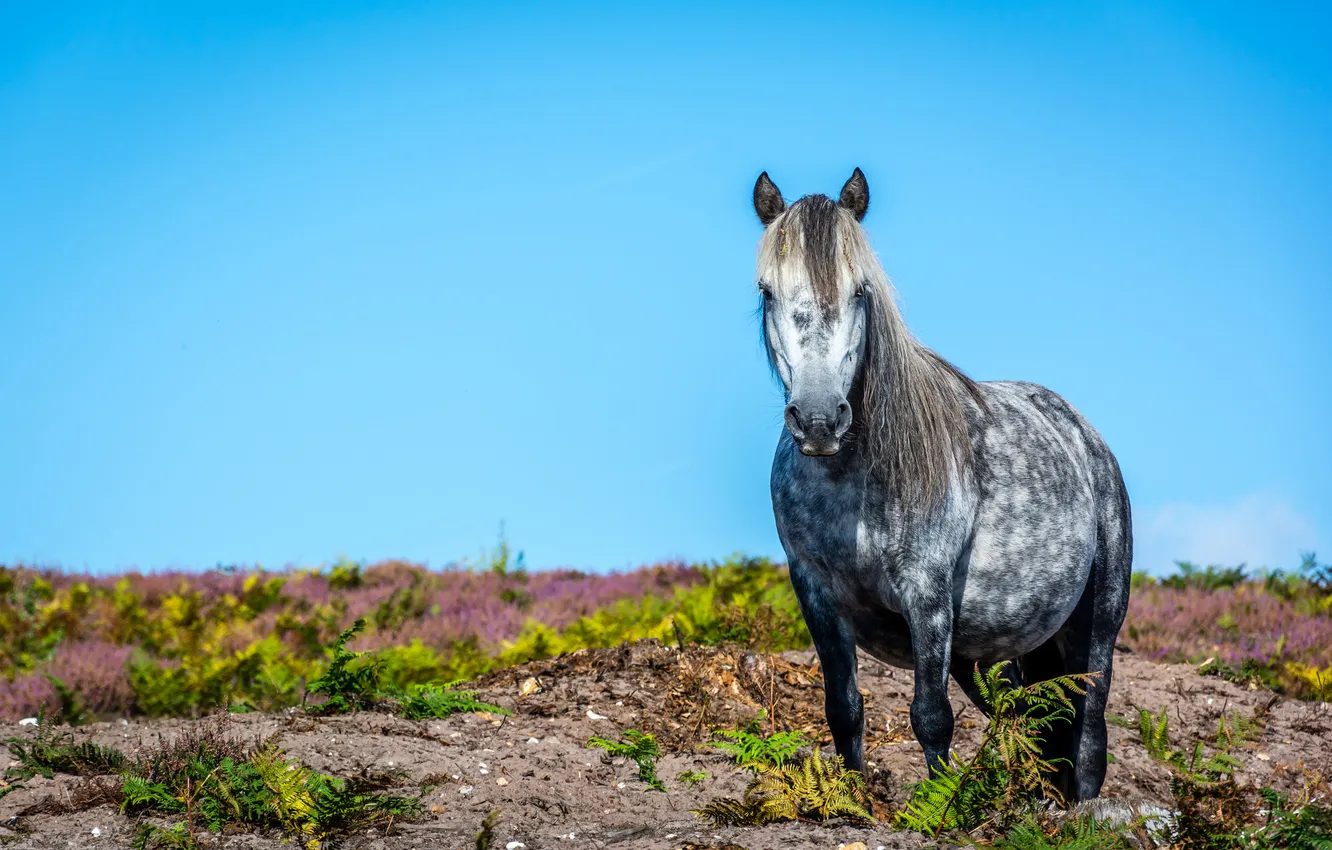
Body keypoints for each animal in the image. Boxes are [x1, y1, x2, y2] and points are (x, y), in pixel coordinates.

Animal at [751, 168, 1132, 802]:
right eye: (767, 292)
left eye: (860, 290)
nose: (820, 419)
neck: (850, 481)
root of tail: (1085, 436)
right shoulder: (816, 595)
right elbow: (843, 710)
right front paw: (855, 803)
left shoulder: (926, 596)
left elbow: (930, 717)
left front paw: (942, 807)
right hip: (997, 654)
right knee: (1031, 723)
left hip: (1096, 623)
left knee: (1087, 734)